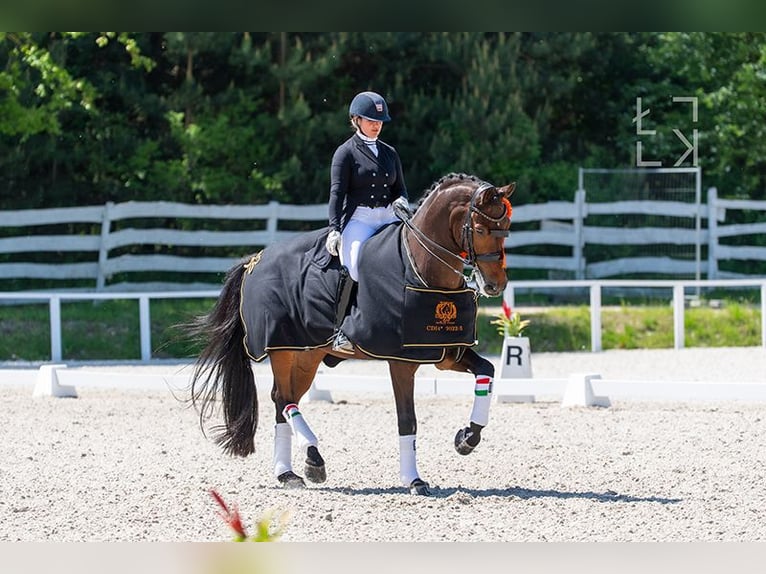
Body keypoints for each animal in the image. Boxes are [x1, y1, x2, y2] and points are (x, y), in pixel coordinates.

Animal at [189, 173, 520, 498]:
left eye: (506, 228)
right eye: (480, 228)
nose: (495, 285)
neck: (420, 267)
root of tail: (254, 261)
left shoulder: (446, 353)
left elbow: (487, 371)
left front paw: (466, 438)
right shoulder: (401, 361)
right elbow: (407, 419)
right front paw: (414, 480)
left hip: (306, 354)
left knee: (284, 401)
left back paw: (288, 473)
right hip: (282, 348)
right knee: (282, 398)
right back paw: (312, 459)